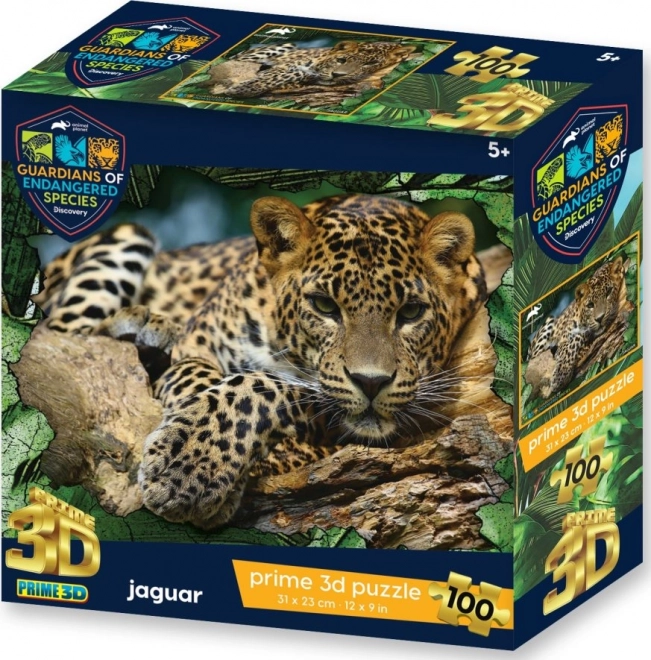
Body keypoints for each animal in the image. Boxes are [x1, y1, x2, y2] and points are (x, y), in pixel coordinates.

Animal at [34, 194, 487, 530]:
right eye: (324, 306)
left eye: (411, 312)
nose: (371, 382)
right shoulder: (196, 345)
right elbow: (205, 382)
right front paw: (189, 463)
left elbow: (261, 387)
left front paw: (195, 469)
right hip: (128, 239)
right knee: (60, 335)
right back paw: (141, 326)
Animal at [220, 40, 417, 99]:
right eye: (341, 59)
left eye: (371, 63)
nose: (336, 75)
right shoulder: (284, 65)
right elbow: (288, 71)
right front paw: (243, 88)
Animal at [527, 256, 627, 399]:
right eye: (590, 305)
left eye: (608, 292)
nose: (600, 318)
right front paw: (561, 372)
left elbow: (578, 337)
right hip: (547, 325)